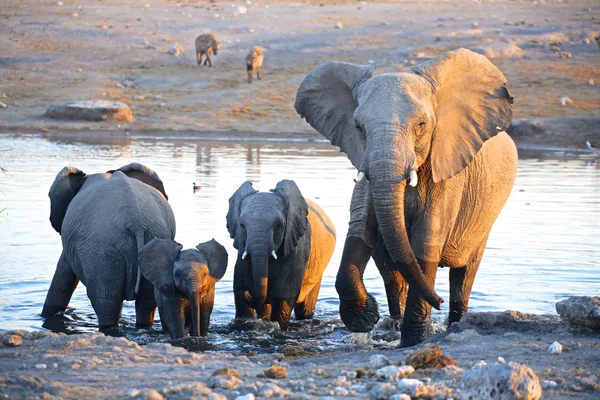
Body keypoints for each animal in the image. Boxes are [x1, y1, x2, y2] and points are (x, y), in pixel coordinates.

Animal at [40, 162, 173, 332]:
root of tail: (136, 221)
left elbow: (63, 277)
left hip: (101, 249)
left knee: (105, 301)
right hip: (154, 240)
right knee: (146, 300)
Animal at [227, 180, 338, 330]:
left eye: (279, 226)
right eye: (242, 226)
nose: (249, 292)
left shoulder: (296, 248)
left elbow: (285, 293)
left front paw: (278, 326)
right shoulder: (241, 248)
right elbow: (239, 288)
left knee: (304, 309)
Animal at [294, 48, 516, 346]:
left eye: (421, 125)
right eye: (358, 127)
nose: (438, 302)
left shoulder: (447, 174)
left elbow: (425, 241)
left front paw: (413, 340)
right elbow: (360, 230)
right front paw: (365, 318)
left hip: (483, 218)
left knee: (463, 275)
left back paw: (453, 321)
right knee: (393, 274)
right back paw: (393, 325)